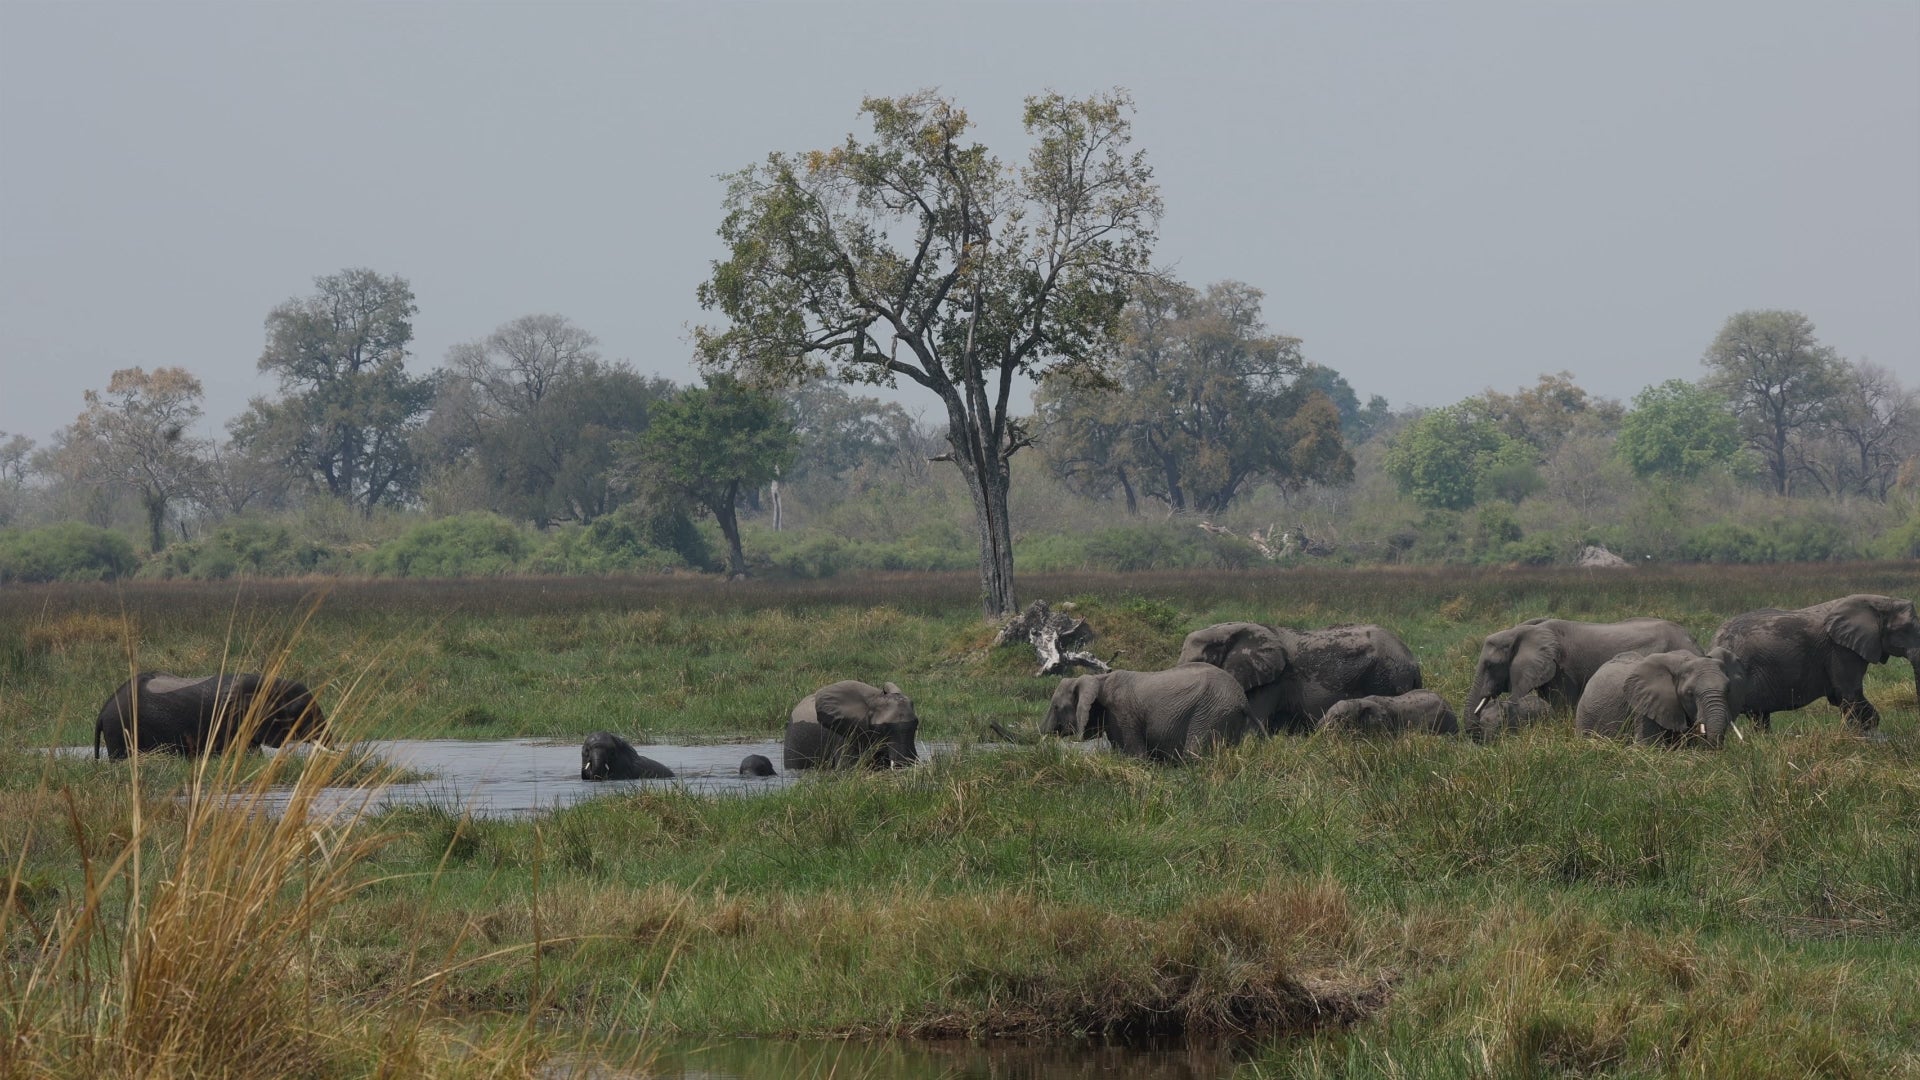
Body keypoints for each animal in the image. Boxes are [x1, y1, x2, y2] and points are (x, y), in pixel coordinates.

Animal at [1040, 663, 1254, 762]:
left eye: (1056, 707)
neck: (1099, 678)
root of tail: (1242, 700)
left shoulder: (1122, 713)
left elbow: (1136, 756)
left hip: (1210, 712)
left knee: (1194, 754)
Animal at [1710, 594, 1920, 734]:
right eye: (1906, 629)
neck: (1878, 601)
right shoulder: (1840, 650)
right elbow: (1849, 694)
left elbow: (1841, 697)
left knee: (1759, 716)